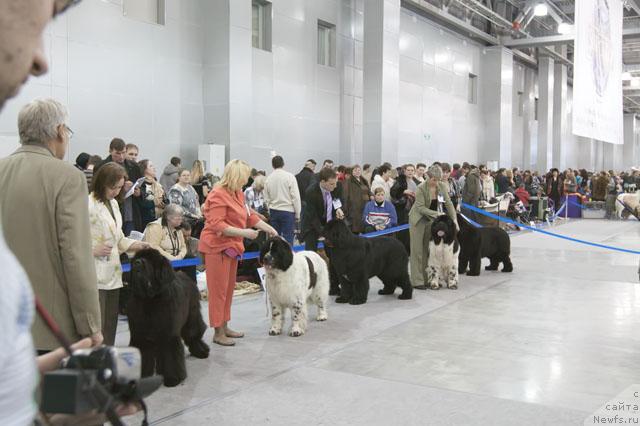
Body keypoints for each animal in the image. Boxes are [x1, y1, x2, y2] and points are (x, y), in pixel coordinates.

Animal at [127, 248, 210, 388]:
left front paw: (172, 379)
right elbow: (144, 355)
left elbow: (170, 355)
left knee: (194, 333)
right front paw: (143, 377)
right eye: (136, 258)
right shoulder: (140, 337)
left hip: (191, 316)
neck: (149, 300)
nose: (137, 263)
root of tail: (185, 276)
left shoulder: (167, 335)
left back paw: (201, 351)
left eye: (150, 260)